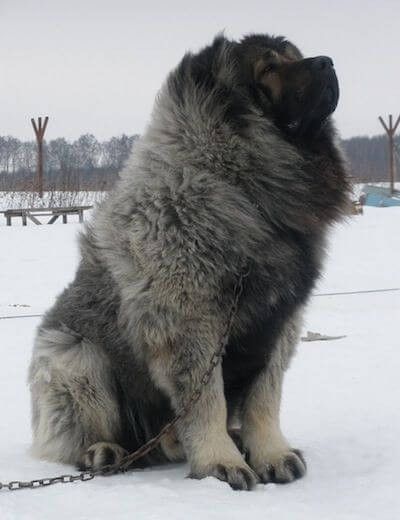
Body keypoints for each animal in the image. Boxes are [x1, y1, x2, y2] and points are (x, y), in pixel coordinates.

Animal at [29, 34, 350, 490]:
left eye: (294, 56)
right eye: (269, 68)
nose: (327, 62)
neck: (239, 187)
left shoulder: (279, 323)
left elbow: (264, 399)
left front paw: (271, 454)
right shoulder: (190, 324)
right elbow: (207, 402)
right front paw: (220, 463)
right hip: (75, 357)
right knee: (86, 430)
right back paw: (106, 451)